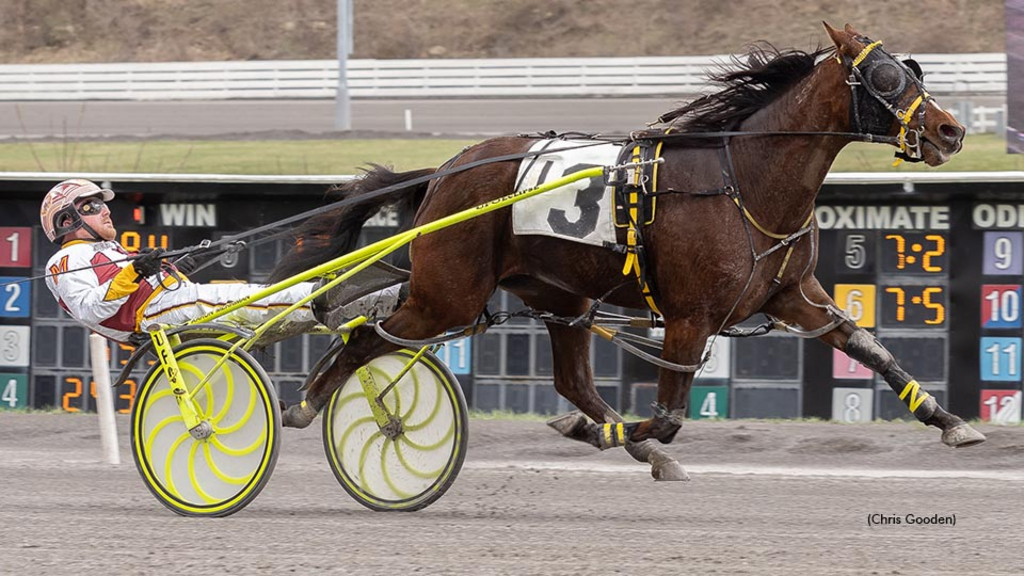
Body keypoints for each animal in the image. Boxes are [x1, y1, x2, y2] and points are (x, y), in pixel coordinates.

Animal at [270, 23, 983, 479]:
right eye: (884, 77)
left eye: (912, 69)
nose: (951, 130)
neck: (744, 179)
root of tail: (446, 170)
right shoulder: (692, 315)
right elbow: (666, 415)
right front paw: (625, 437)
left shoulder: (789, 294)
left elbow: (870, 347)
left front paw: (951, 421)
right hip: (448, 293)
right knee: (366, 333)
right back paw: (302, 404)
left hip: (559, 298)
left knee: (572, 381)